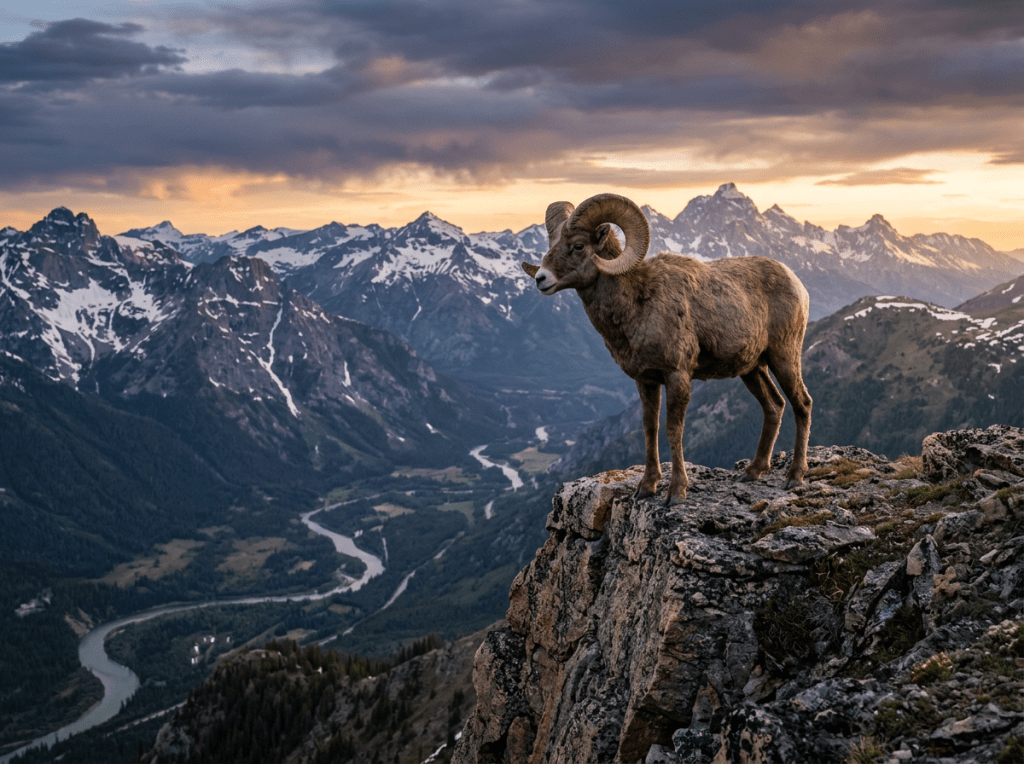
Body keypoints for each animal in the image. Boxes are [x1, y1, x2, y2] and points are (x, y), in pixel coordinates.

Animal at [521, 193, 812, 506]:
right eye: (551, 245)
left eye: (578, 246)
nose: (541, 279)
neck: (638, 304)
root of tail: (797, 284)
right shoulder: (646, 380)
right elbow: (650, 429)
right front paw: (646, 487)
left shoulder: (678, 376)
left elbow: (674, 430)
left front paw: (676, 492)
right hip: (752, 369)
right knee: (774, 406)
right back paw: (753, 472)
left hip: (784, 357)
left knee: (802, 404)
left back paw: (795, 477)